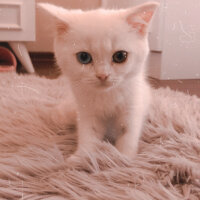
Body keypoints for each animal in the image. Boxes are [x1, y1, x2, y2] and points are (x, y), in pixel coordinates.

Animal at [38, 1, 158, 159]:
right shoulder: (86, 111)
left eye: (120, 56)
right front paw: (80, 157)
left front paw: (124, 159)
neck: (106, 96)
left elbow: (128, 135)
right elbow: (88, 135)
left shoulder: (132, 107)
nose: (102, 75)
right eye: (83, 57)